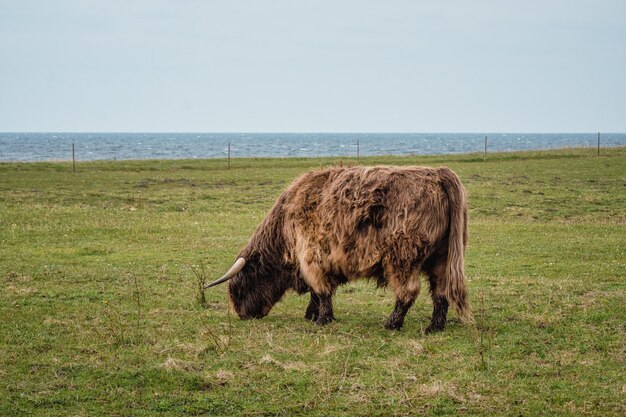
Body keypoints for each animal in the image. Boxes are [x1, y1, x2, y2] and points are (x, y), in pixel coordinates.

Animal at [207, 165, 470, 332]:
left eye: (239, 288)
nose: (242, 315)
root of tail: (439, 173)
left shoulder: (311, 256)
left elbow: (321, 291)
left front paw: (321, 319)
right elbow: (318, 292)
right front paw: (312, 314)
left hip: (402, 256)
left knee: (408, 291)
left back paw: (392, 324)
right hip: (442, 257)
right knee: (441, 291)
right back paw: (434, 327)